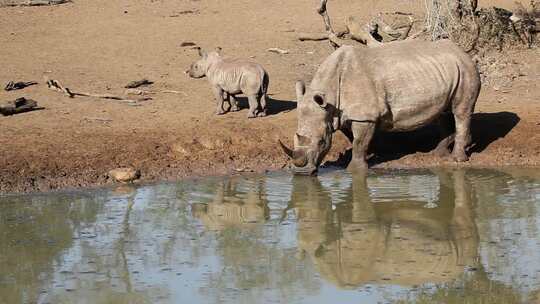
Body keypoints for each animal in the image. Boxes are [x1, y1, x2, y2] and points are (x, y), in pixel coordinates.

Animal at [278, 39, 480, 175]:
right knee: (443, 112)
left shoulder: (364, 115)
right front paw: (373, 154)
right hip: (448, 71)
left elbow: (359, 142)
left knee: (460, 111)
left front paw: (355, 169)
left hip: (466, 70)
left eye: (321, 142)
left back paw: (457, 159)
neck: (329, 98)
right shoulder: (342, 114)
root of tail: (463, 52)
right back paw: (438, 154)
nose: (301, 173)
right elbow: (355, 139)